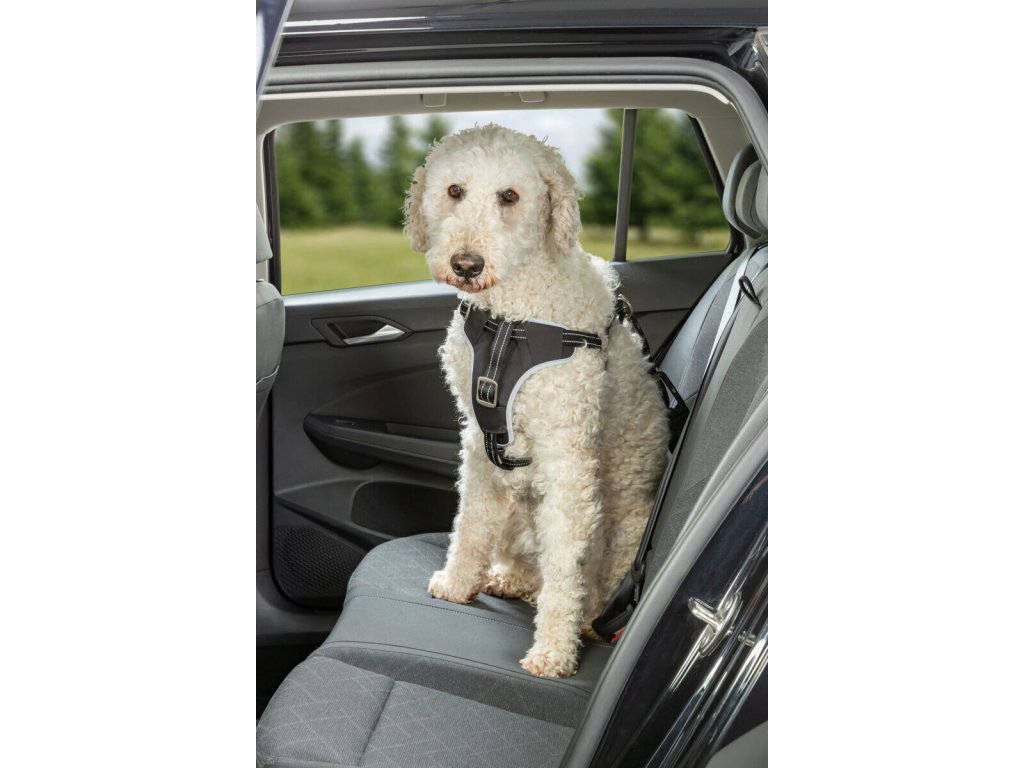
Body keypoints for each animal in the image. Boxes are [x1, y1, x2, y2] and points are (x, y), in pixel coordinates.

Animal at [403, 124, 669, 678]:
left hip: (623, 536)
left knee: (583, 586)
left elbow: (565, 568)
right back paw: (508, 578)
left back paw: (584, 622)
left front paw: (553, 652)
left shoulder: (567, 459)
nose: (466, 264)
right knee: (526, 565)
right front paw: (458, 582)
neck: (511, 319)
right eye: (454, 190)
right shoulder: (477, 442)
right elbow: (470, 522)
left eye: (510, 196)